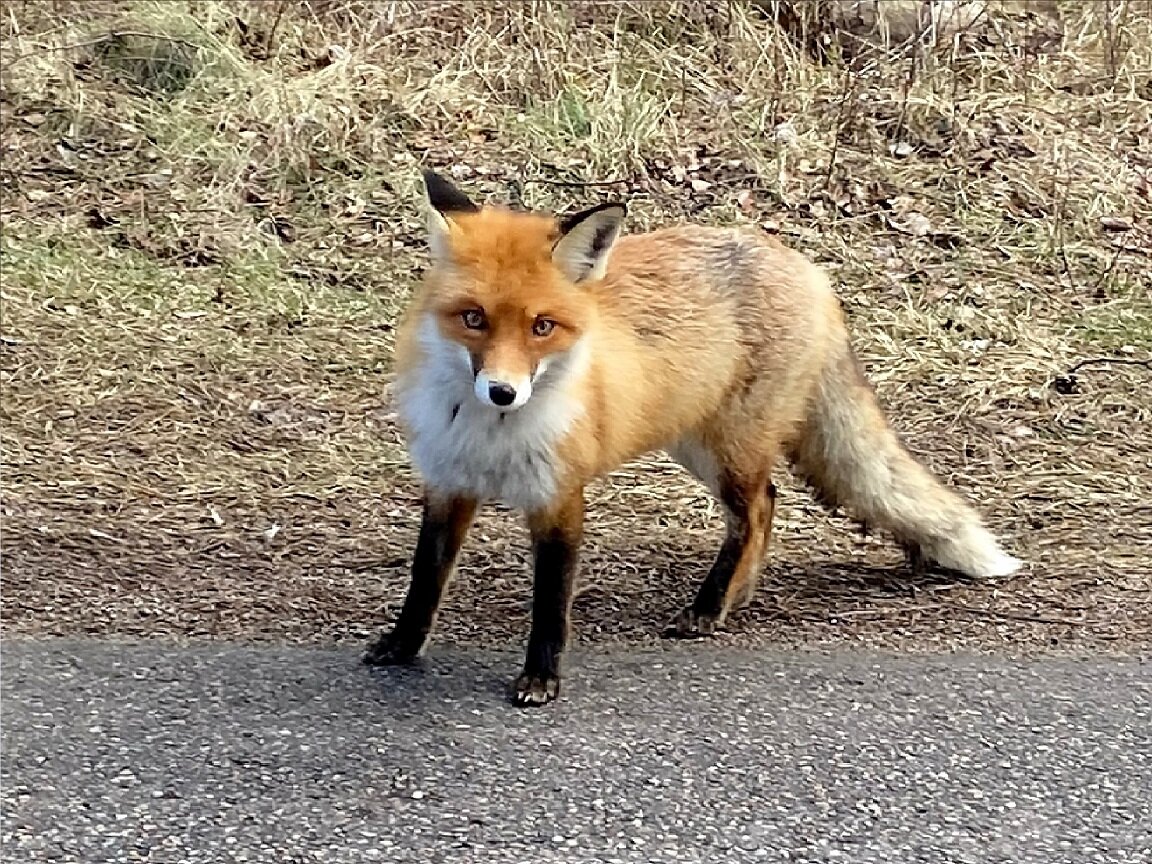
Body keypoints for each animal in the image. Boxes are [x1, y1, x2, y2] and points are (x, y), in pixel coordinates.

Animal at [364, 170, 1022, 709]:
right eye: (473, 319)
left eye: (542, 327)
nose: (503, 392)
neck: (491, 434)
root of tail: (804, 265)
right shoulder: (449, 482)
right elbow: (425, 578)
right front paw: (402, 647)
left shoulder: (560, 495)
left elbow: (550, 601)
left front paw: (541, 679)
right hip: (698, 445)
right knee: (769, 506)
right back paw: (736, 596)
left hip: (728, 449)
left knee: (754, 513)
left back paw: (710, 606)